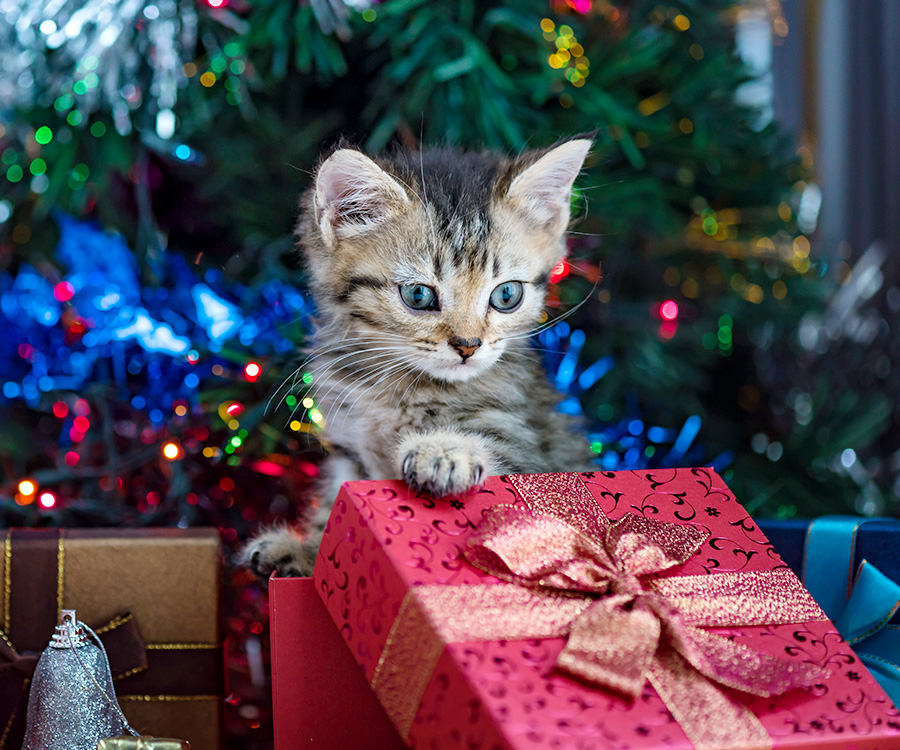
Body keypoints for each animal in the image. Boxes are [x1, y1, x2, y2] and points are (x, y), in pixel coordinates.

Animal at [246, 138, 596, 580]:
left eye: (507, 295)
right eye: (418, 295)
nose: (468, 345)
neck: (398, 386)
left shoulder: (529, 446)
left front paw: (446, 452)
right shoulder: (350, 451)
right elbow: (335, 507)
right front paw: (306, 551)